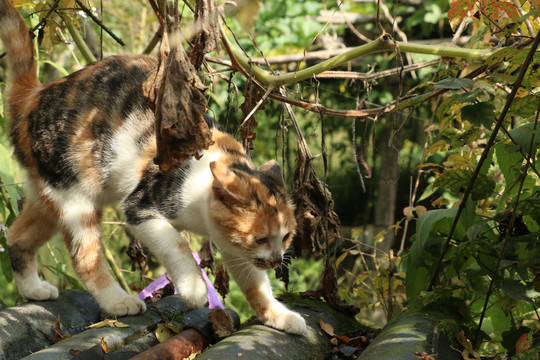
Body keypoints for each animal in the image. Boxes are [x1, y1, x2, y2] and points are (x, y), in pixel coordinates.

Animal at [0, 0, 306, 334]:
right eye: (262, 238)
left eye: (287, 237)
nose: (277, 260)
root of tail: (35, 95)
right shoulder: (141, 207)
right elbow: (177, 244)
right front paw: (194, 288)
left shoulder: (236, 248)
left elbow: (255, 284)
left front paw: (279, 316)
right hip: (75, 197)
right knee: (84, 258)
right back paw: (117, 301)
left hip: (49, 193)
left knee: (16, 237)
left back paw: (33, 289)